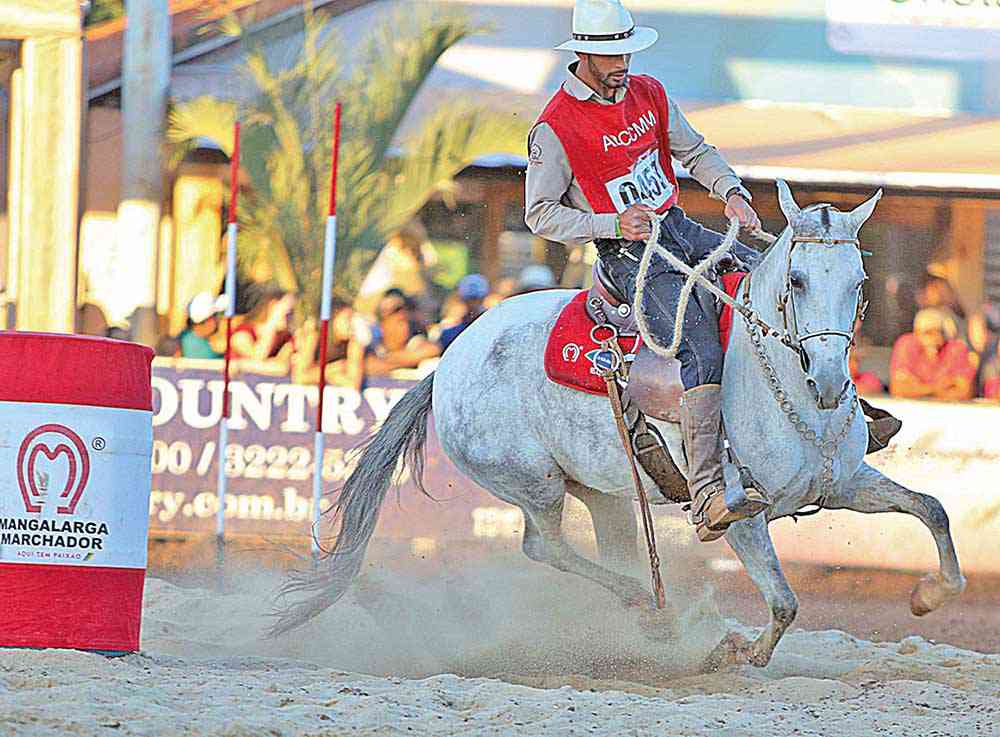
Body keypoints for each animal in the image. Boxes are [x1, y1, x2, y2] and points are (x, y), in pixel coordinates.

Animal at [272, 183, 960, 668]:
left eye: (859, 281)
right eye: (796, 279)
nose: (830, 380)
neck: (786, 393)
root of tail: (448, 362)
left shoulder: (844, 485)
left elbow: (932, 510)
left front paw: (929, 596)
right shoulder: (744, 517)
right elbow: (786, 604)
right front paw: (731, 652)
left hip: (602, 488)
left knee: (610, 546)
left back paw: (652, 617)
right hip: (534, 485)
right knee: (544, 546)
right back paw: (654, 613)